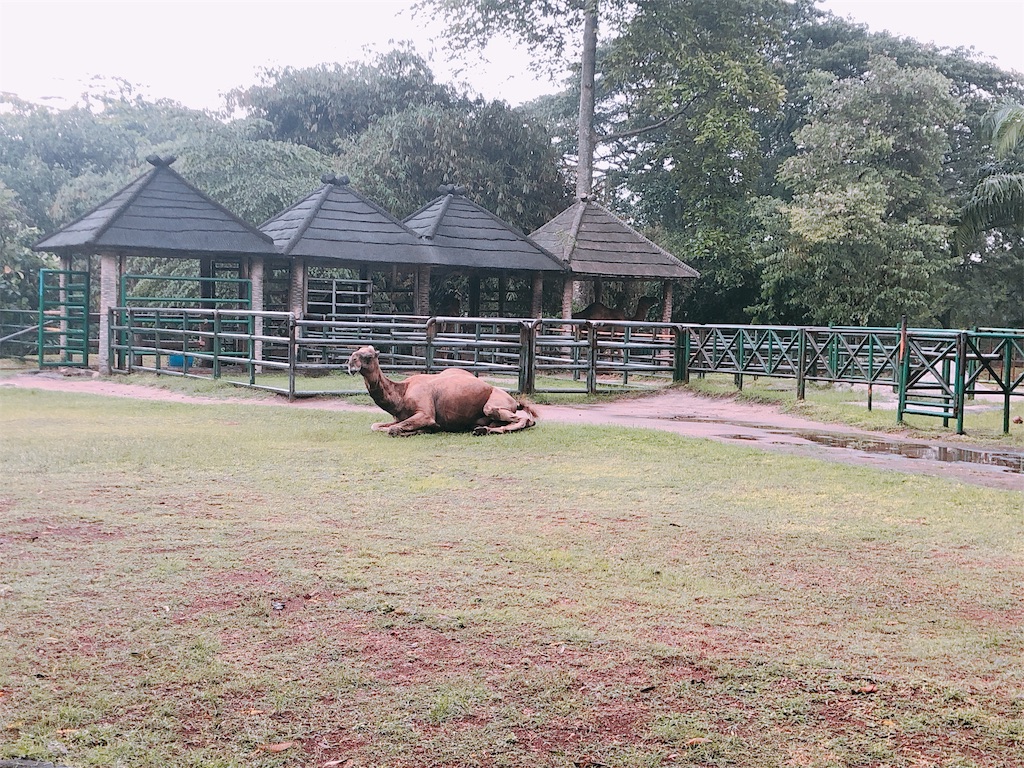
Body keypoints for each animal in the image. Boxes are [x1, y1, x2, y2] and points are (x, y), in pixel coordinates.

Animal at [346, 344, 540, 436]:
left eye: (368, 356)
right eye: (355, 353)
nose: (350, 364)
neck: (401, 394)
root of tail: (514, 401)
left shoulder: (425, 413)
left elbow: (395, 429)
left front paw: (426, 429)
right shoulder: (399, 417)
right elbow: (376, 426)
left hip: (493, 405)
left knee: (525, 420)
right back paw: (482, 430)